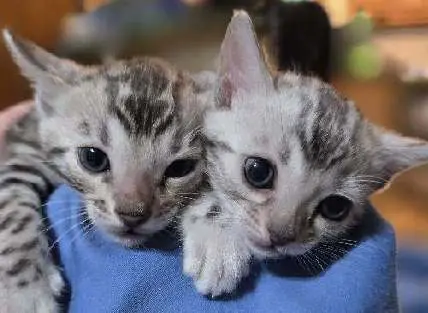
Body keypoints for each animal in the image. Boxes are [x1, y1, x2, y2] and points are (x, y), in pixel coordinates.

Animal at [0, 31, 207, 312]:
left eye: (180, 168)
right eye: (92, 158)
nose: (132, 215)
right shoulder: (25, 146)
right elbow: (11, 204)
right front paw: (25, 289)